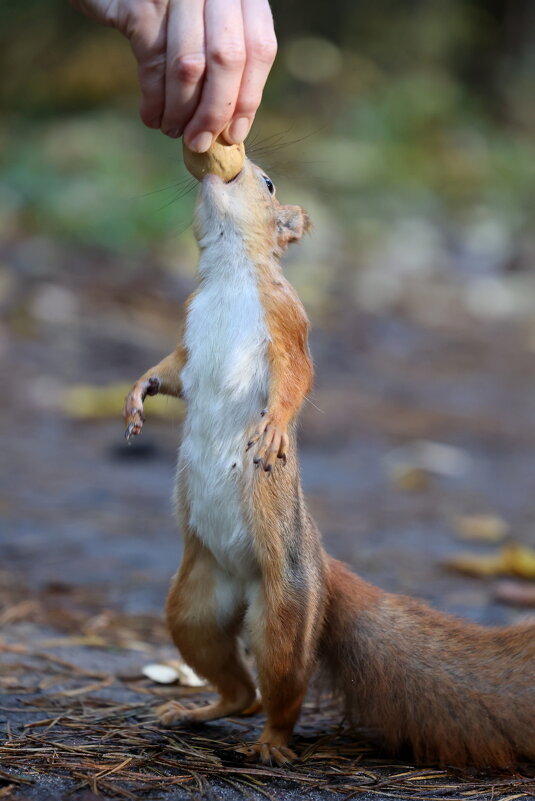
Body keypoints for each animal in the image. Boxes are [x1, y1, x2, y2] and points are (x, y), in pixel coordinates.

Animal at [123, 155, 535, 768]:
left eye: (269, 184)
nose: (225, 166)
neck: (227, 276)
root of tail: (319, 563)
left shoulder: (288, 320)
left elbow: (297, 376)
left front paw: (273, 427)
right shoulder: (188, 335)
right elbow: (169, 370)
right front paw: (136, 393)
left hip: (285, 612)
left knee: (281, 688)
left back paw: (272, 743)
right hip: (194, 607)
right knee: (237, 687)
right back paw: (194, 711)